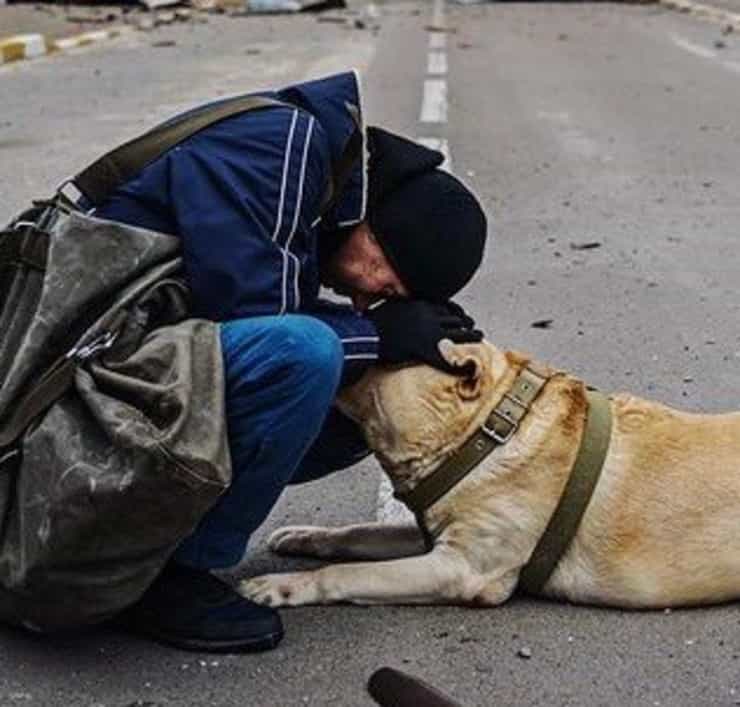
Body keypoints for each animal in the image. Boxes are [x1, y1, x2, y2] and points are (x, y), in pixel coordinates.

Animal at [240, 340, 740, 612]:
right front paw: (303, 537)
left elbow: (347, 574)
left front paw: (286, 586)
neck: (484, 432)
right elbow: (355, 534)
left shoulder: (461, 568)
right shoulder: (433, 536)